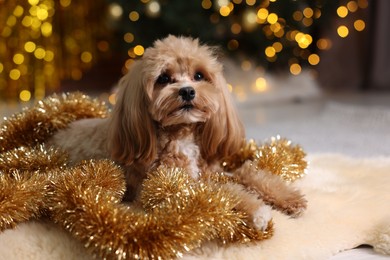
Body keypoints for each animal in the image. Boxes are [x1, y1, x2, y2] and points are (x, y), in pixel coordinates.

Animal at [47, 35, 306, 231]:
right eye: (163, 78)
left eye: (199, 76)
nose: (188, 91)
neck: (182, 136)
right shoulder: (168, 186)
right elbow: (222, 193)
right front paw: (256, 211)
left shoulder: (212, 172)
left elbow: (248, 173)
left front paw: (288, 198)